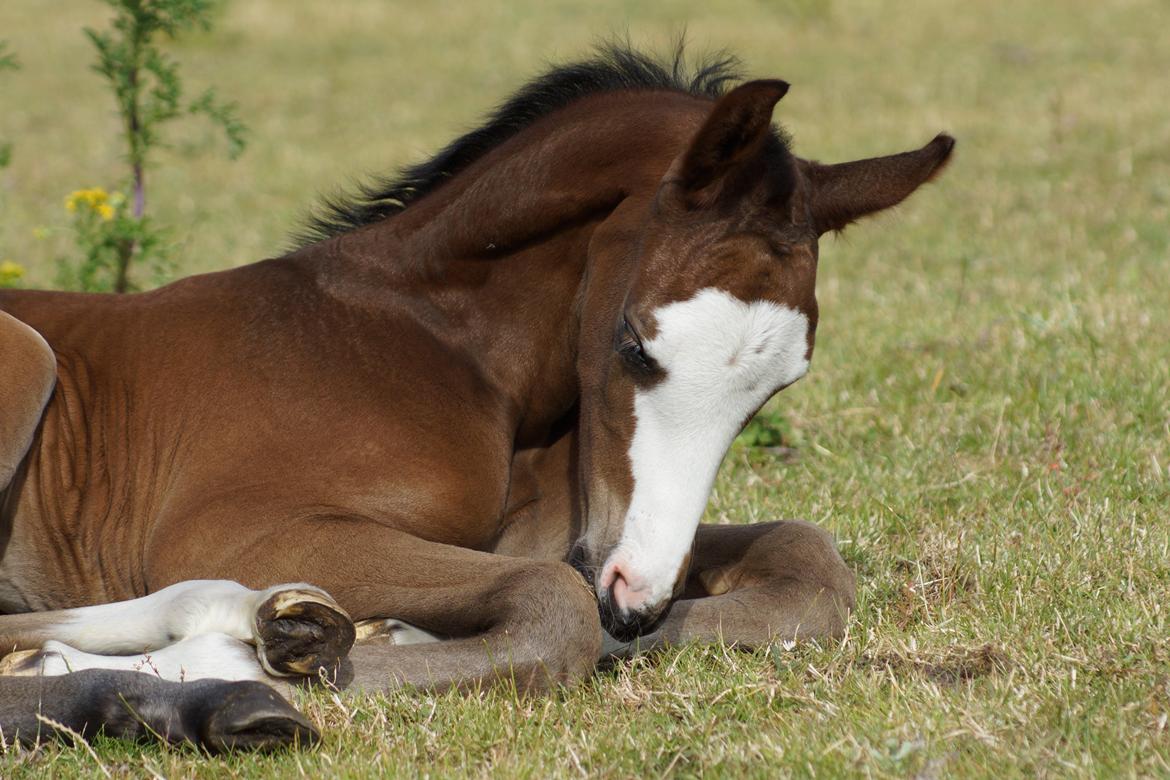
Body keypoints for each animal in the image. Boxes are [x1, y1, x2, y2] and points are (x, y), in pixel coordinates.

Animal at [0, 47, 950, 748]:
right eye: (633, 344)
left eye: (776, 386)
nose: (637, 601)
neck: (449, 353)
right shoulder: (242, 531)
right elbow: (554, 604)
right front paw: (255, 660)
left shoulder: (569, 535)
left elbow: (808, 563)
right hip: (28, 356)